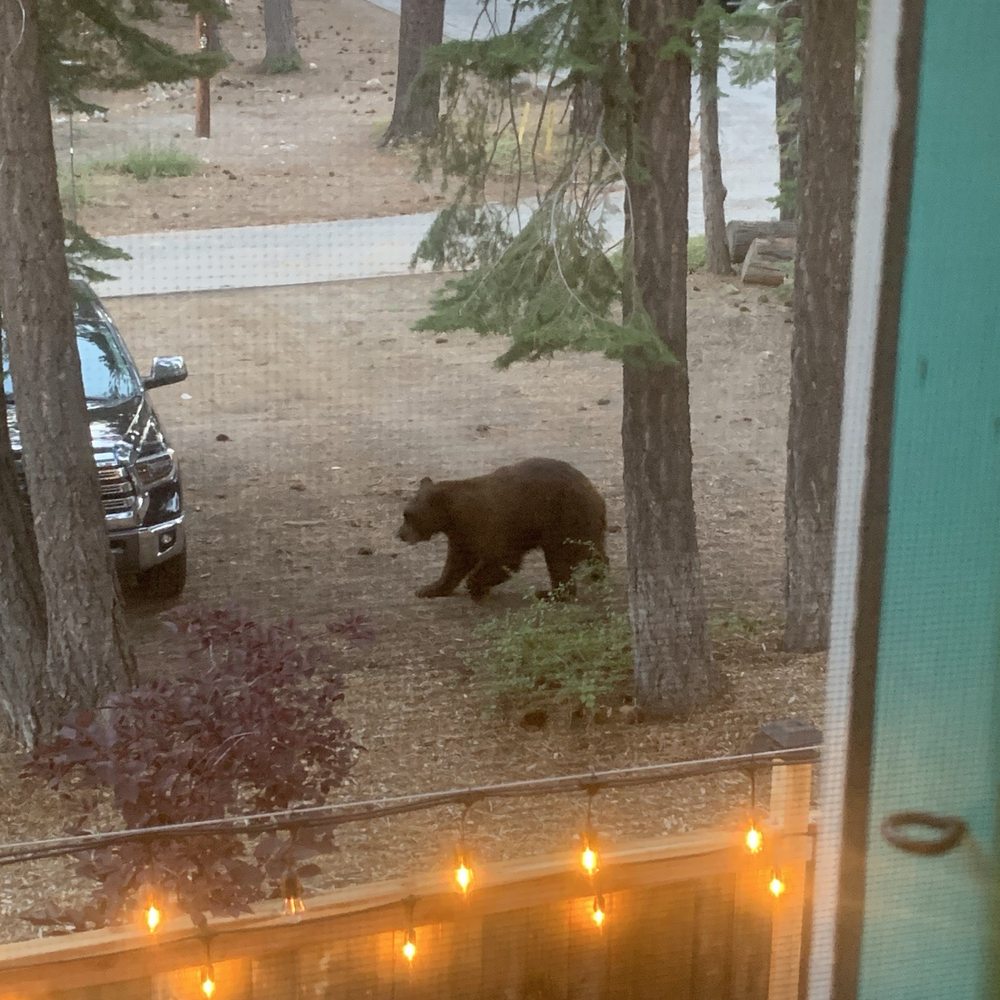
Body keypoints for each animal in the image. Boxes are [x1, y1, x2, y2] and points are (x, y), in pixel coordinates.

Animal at [395, 457, 608, 602]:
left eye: (408, 515)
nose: (400, 534)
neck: (454, 514)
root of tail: (595, 493)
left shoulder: (491, 523)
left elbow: (503, 558)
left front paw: (476, 586)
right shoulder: (461, 534)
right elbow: (456, 563)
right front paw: (428, 589)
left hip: (562, 519)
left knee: (558, 559)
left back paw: (547, 593)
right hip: (582, 525)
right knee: (593, 551)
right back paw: (597, 573)